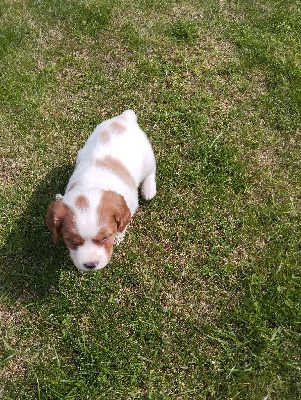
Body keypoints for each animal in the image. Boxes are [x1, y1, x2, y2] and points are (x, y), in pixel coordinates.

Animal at [46, 110, 157, 272]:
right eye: (72, 241)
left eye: (105, 237)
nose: (90, 265)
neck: (91, 185)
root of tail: (125, 118)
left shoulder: (130, 205)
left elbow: (123, 224)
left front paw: (118, 237)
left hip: (147, 158)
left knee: (151, 172)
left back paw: (149, 189)